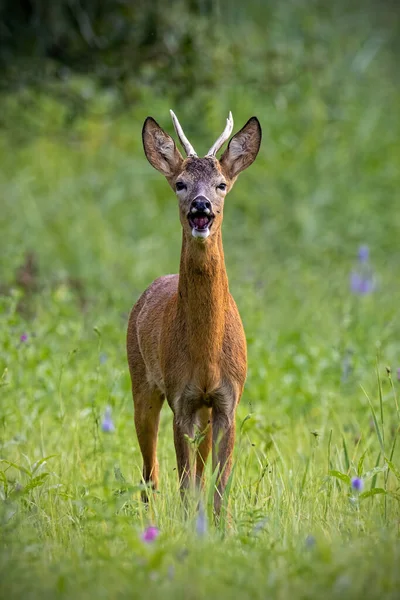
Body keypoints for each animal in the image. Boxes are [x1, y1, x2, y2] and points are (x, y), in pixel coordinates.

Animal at [126, 110, 260, 512]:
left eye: (221, 184)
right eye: (180, 184)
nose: (201, 206)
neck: (206, 358)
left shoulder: (227, 401)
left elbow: (219, 486)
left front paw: (219, 525)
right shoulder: (181, 400)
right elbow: (186, 485)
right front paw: (189, 523)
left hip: (202, 412)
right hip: (142, 381)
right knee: (150, 471)